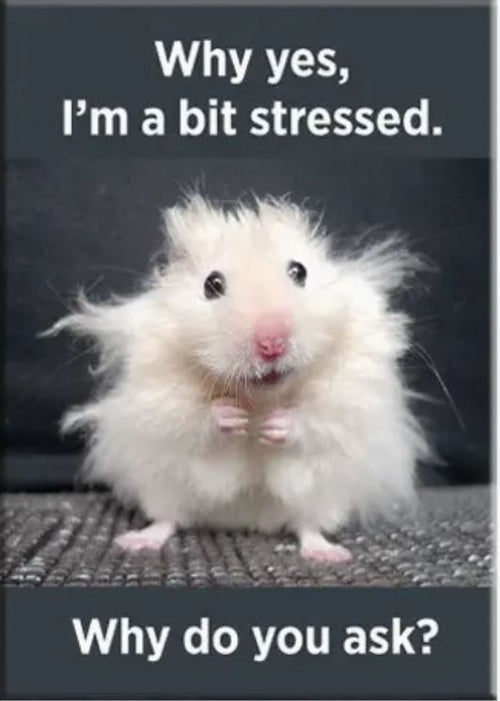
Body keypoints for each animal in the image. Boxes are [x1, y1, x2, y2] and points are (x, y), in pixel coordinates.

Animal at [46, 195, 429, 563]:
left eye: (299, 271)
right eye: (212, 284)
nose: (272, 342)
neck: (259, 399)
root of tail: (247, 519)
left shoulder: (354, 388)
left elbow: (319, 414)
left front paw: (274, 425)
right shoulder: (155, 389)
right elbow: (185, 414)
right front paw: (232, 416)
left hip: (324, 493)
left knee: (308, 525)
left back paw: (329, 554)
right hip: (161, 482)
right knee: (168, 518)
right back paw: (137, 542)